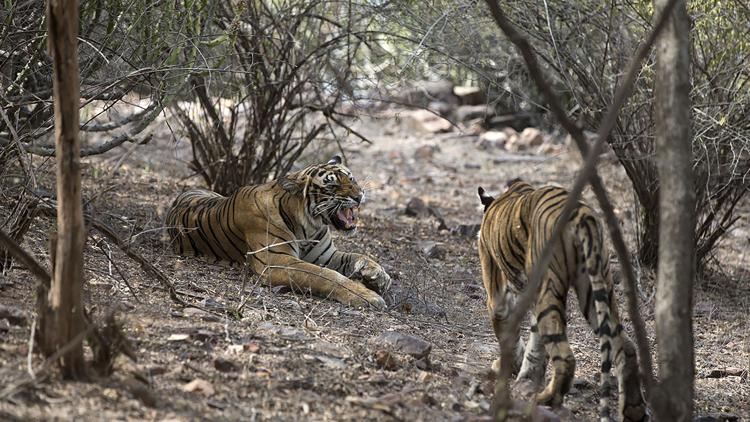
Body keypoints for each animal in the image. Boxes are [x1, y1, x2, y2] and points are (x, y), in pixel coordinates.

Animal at [166, 157, 394, 308]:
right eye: (332, 186)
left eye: (351, 179)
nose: (359, 196)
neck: (309, 226)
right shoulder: (277, 261)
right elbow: (326, 276)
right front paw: (366, 296)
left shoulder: (327, 256)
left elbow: (357, 256)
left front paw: (379, 276)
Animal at [478, 179, 648, 422]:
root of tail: (582, 215)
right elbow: (536, 340)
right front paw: (527, 374)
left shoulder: (498, 295)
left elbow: (508, 334)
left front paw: (510, 366)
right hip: (595, 289)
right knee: (625, 347)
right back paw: (634, 410)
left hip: (550, 286)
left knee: (565, 356)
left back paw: (546, 399)